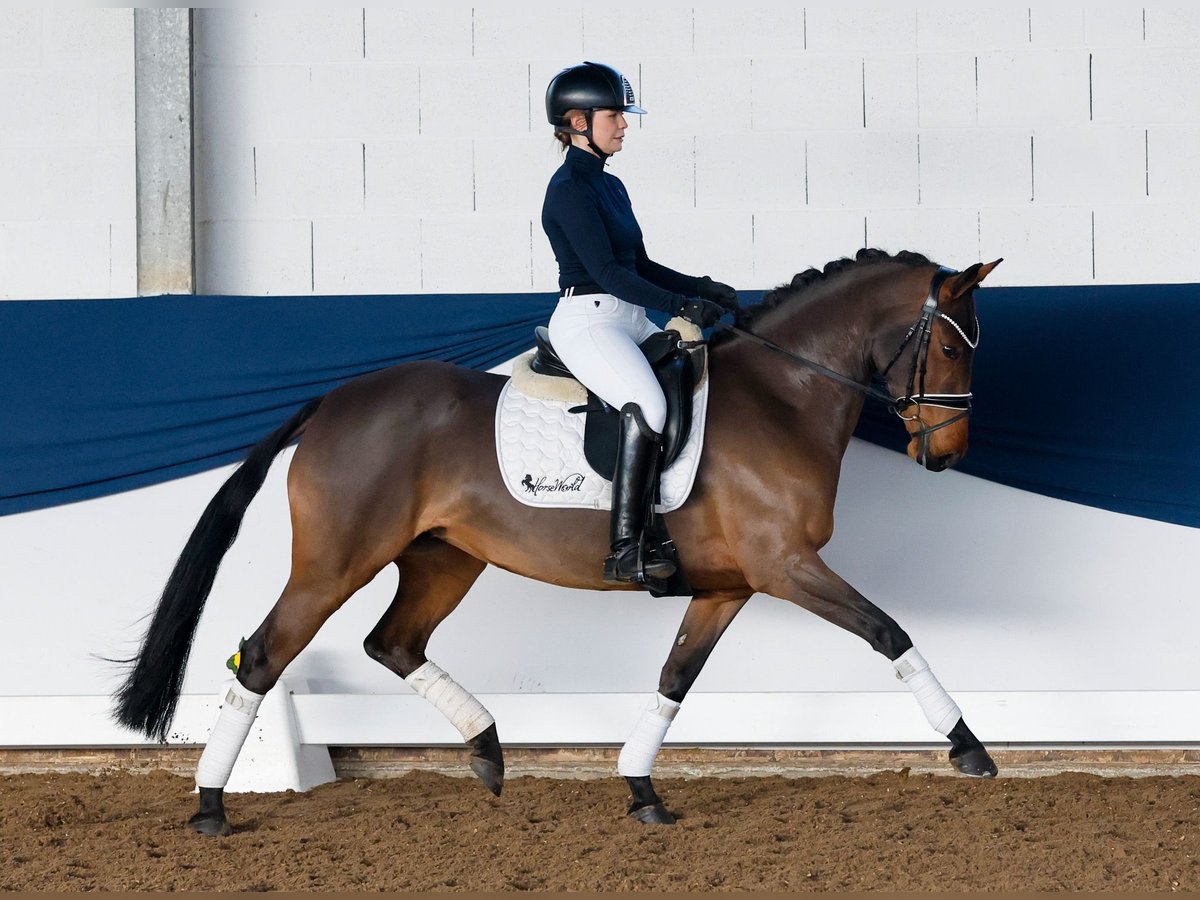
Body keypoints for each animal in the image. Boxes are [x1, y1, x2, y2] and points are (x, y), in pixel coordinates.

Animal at [114, 248, 1003, 840]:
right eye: (950, 346)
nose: (948, 454)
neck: (783, 396)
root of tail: (333, 400)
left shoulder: (729, 586)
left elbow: (675, 680)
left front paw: (642, 790)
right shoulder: (787, 566)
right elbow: (889, 631)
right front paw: (969, 750)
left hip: (444, 558)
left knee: (392, 643)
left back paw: (488, 751)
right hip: (336, 562)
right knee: (264, 655)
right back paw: (211, 807)